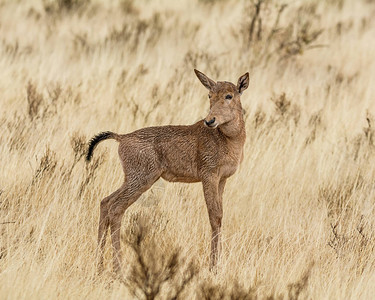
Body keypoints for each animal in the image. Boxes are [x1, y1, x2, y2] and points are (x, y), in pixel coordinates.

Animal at [87, 69, 250, 276]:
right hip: (140, 181)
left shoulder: (222, 180)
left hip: (133, 180)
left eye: (229, 95)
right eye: (210, 95)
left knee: (105, 202)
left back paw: (99, 266)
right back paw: (118, 269)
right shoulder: (209, 177)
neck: (226, 138)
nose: (210, 120)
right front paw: (213, 267)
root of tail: (121, 137)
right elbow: (215, 216)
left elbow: (219, 216)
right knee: (116, 208)